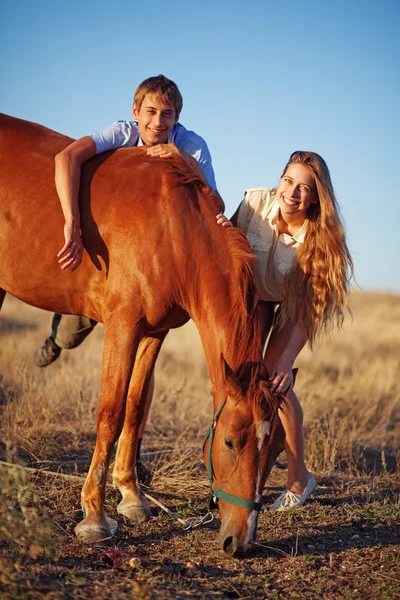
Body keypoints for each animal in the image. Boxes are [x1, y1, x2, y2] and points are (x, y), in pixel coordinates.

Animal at [0, 115, 284, 556]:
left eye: (275, 451)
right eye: (230, 442)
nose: (239, 542)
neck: (172, 228)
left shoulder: (154, 331)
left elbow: (135, 406)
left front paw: (131, 496)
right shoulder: (122, 325)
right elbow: (110, 412)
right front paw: (94, 515)